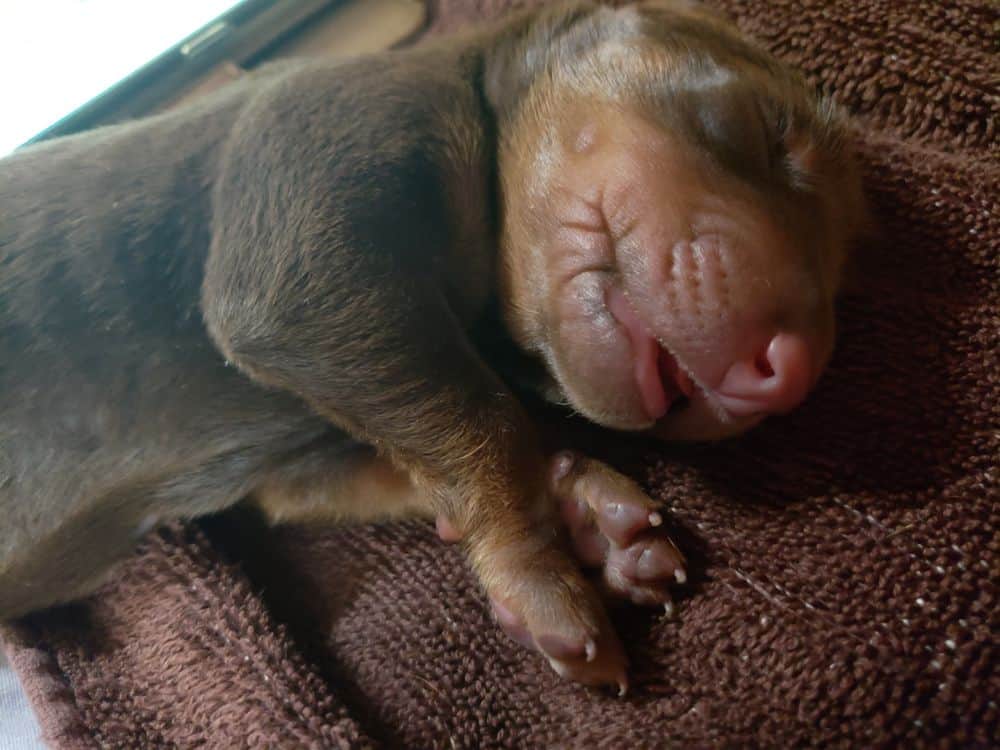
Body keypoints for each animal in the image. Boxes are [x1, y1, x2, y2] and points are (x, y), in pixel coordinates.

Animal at [0, 0, 860, 696]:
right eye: (767, 135)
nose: (793, 369)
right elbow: (484, 413)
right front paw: (541, 573)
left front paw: (584, 508)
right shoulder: (323, 189)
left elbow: (372, 467)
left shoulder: (306, 458)